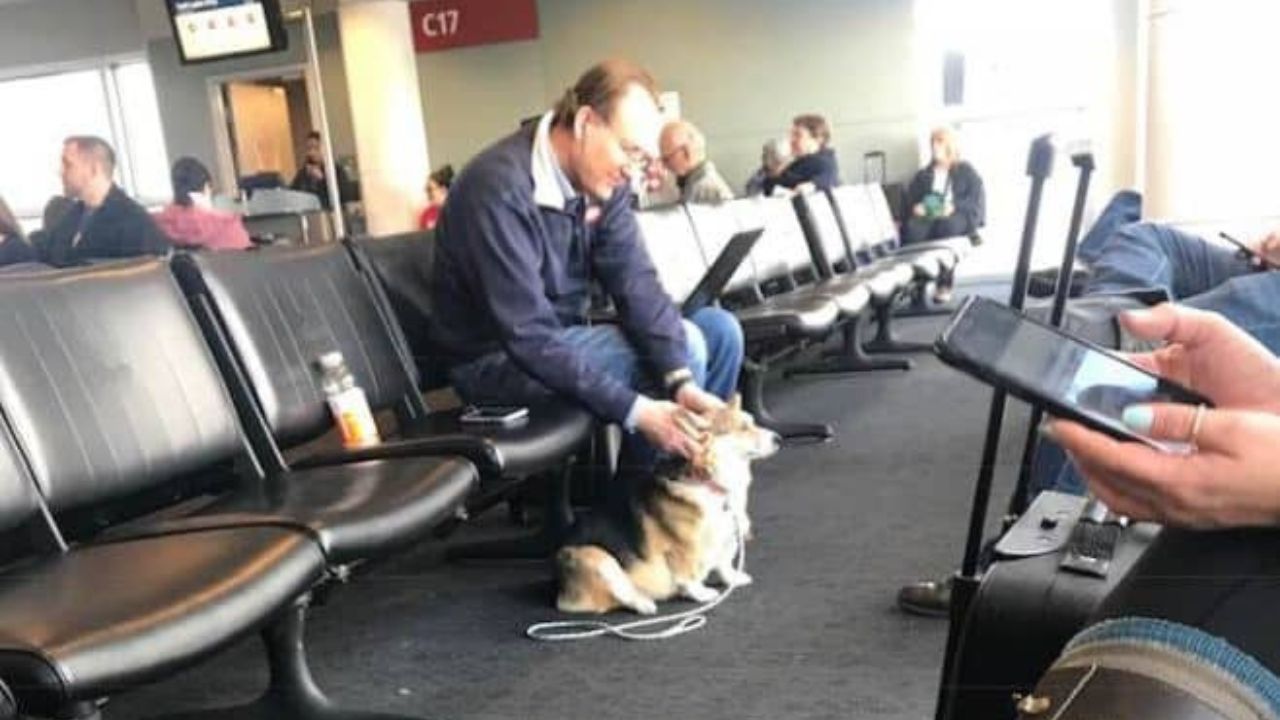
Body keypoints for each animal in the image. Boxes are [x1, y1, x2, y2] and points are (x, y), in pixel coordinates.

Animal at [552, 394, 778, 614]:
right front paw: (702, 593)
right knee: (621, 595)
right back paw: (644, 602)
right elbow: (688, 577)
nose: (778, 438)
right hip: (598, 558)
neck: (709, 482)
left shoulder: (726, 537)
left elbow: (724, 563)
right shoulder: (683, 549)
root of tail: (559, 588)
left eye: (753, 422)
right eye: (743, 428)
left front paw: (733, 578)